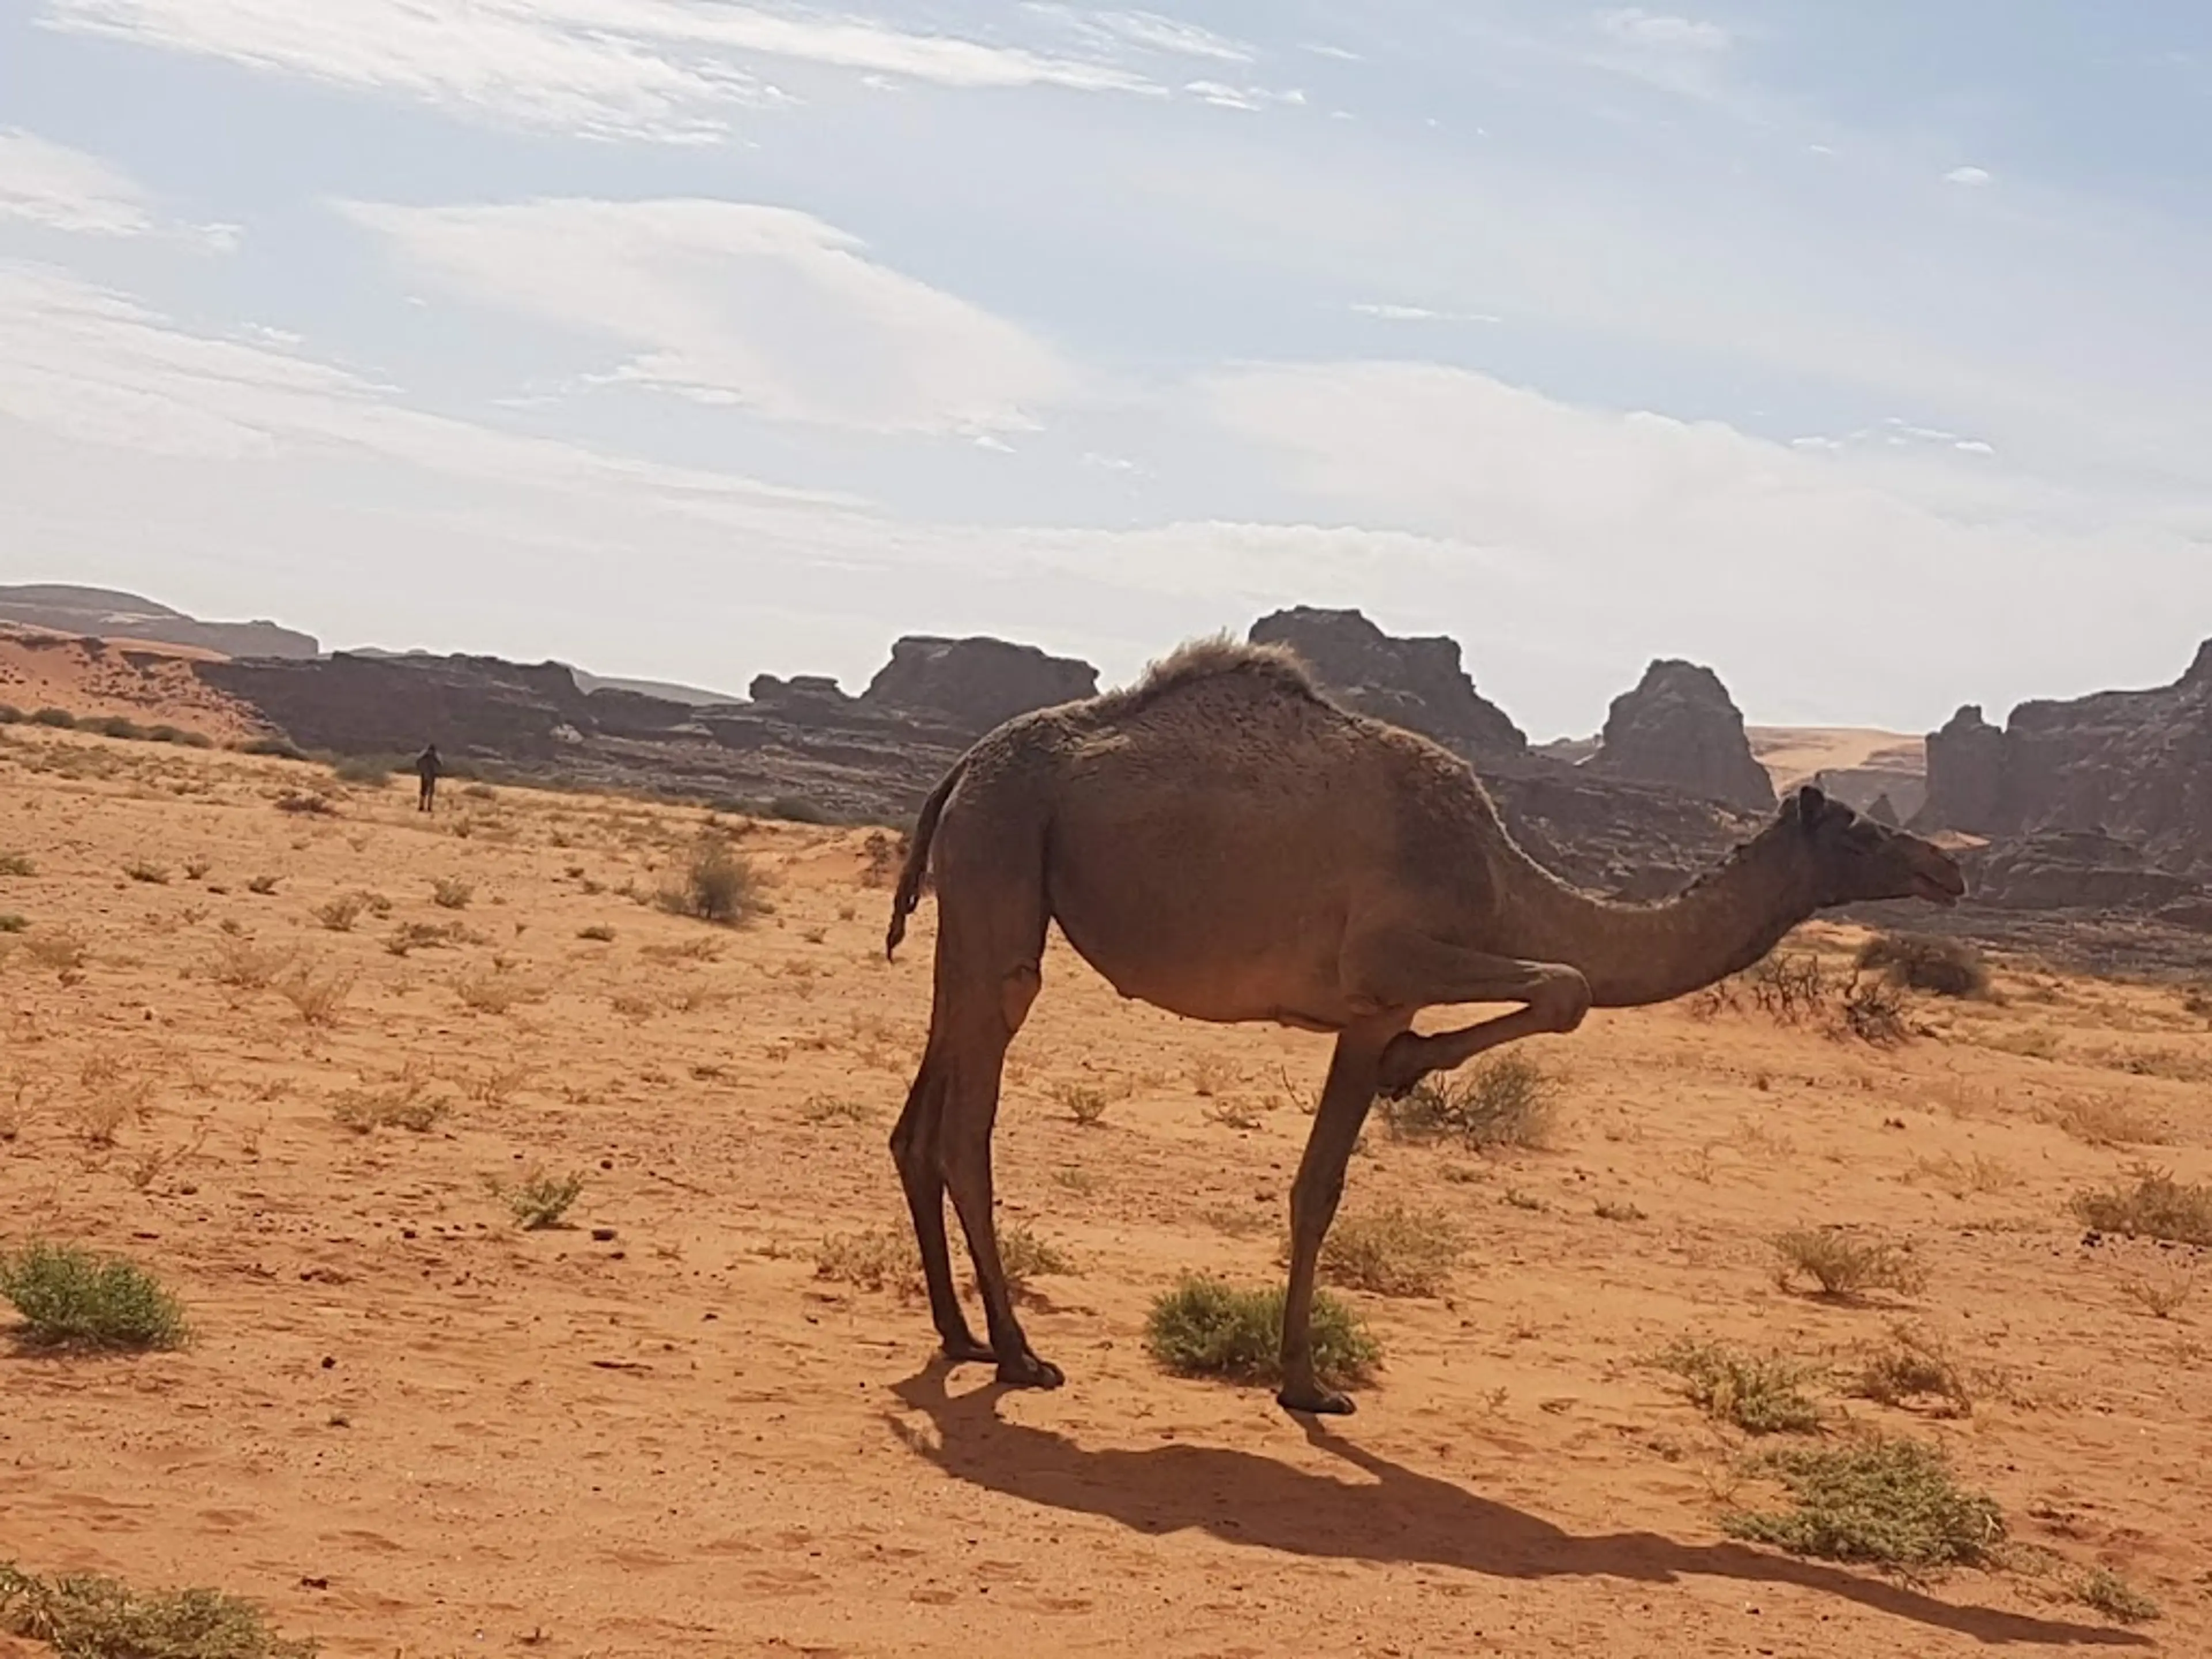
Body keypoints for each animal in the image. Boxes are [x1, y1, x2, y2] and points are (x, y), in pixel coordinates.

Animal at [880, 641, 1973, 1424]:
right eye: (1863, 831)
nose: (1947, 869)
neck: (1500, 878)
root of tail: (964, 765)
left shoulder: (1371, 1009)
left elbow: (1318, 1189)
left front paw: (1304, 1381)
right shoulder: (1392, 959)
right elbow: (1571, 986)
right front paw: (1413, 1074)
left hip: (976, 898)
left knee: (919, 1119)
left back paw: (959, 1335)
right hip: (1005, 862)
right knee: (969, 1123)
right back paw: (1019, 1353)